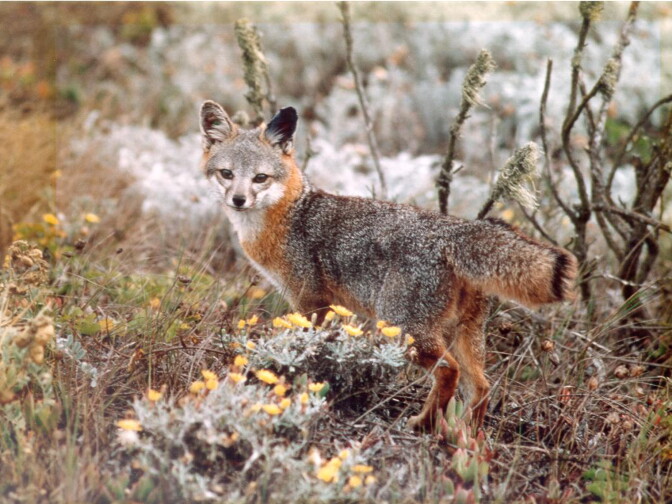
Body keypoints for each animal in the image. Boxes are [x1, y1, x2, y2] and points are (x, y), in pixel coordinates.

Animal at [199, 100, 578, 431]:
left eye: (260, 178)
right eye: (227, 174)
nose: (238, 199)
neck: (290, 215)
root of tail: (455, 230)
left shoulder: (310, 301)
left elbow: (305, 346)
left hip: (404, 328)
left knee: (449, 372)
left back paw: (424, 424)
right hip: (463, 335)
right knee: (482, 386)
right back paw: (467, 437)